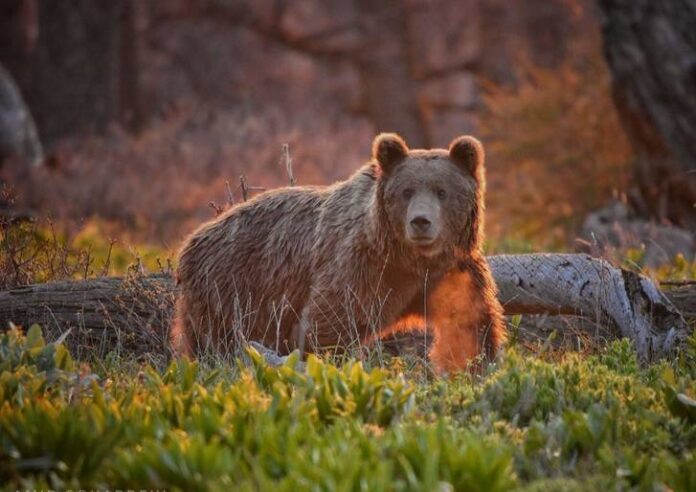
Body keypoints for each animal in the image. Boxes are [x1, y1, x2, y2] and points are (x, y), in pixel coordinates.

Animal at [172, 133, 506, 373]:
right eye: (407, 191)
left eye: (442, 191)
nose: (420, 221)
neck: (410, 259)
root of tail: (192, 241)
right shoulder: (361, 266)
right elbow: (329, 321)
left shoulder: (453, 270)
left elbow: (469, 323)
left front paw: (472, 365)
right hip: (232, 290)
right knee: (215, 342)